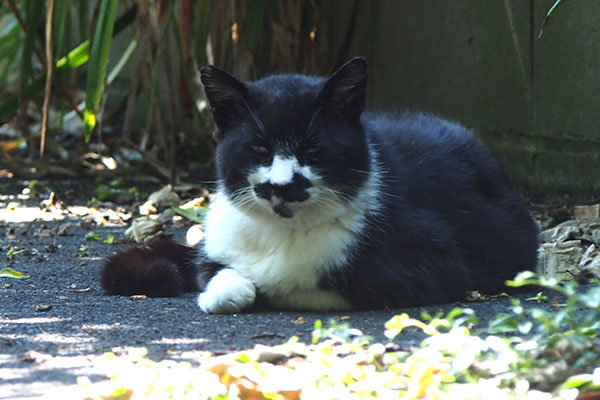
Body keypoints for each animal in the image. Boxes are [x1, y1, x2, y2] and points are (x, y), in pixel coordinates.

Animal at [99, 57, 540, 312]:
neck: (283, 232)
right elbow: (210, 268)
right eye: (258, 148)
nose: (282, 185)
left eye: (313, 149)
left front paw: (263, 287)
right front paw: (226, 290)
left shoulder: (431, 265)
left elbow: (308, 285)